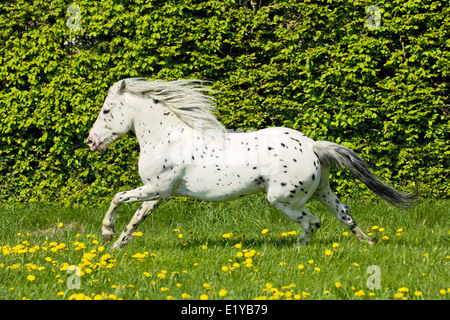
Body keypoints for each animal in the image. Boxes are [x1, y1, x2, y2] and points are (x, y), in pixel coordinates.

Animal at [88, 78, 418, 250]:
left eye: (106, 111)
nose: (91, 142)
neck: (167, 136)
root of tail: (312, 145)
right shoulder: (158, 193)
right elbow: (137, 219)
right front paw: (117, 247)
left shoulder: (156, 187)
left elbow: (118, 197)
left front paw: (106, 234)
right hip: (323, 191)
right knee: (345, 215)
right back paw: (368, 243)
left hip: (283, 199)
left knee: (313, 223)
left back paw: (295, 251)